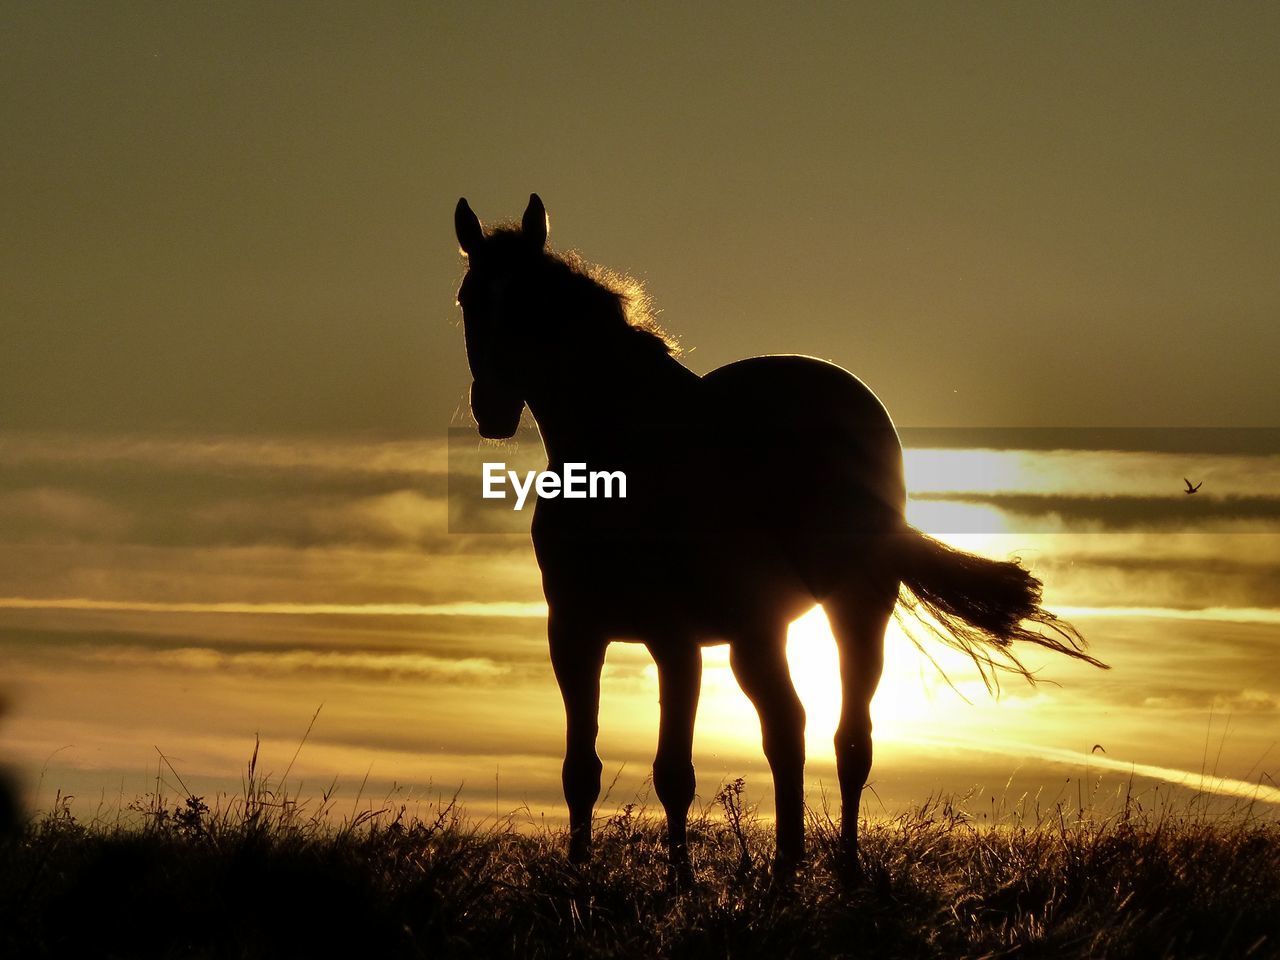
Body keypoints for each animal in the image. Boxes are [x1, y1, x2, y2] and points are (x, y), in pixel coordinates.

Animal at [455, 195, 1105, 880]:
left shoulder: (673, 638)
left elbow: (674, 772)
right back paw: (786, 865)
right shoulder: (575, 633)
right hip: (759, 631)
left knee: (849, 740)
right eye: (468, 299)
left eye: (533, 303)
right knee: (787, 729)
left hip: (854, 610)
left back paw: (842, 868)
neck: (626, 459)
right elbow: (581, 769)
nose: (492, 408)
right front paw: (582, 878)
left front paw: (680, 884)